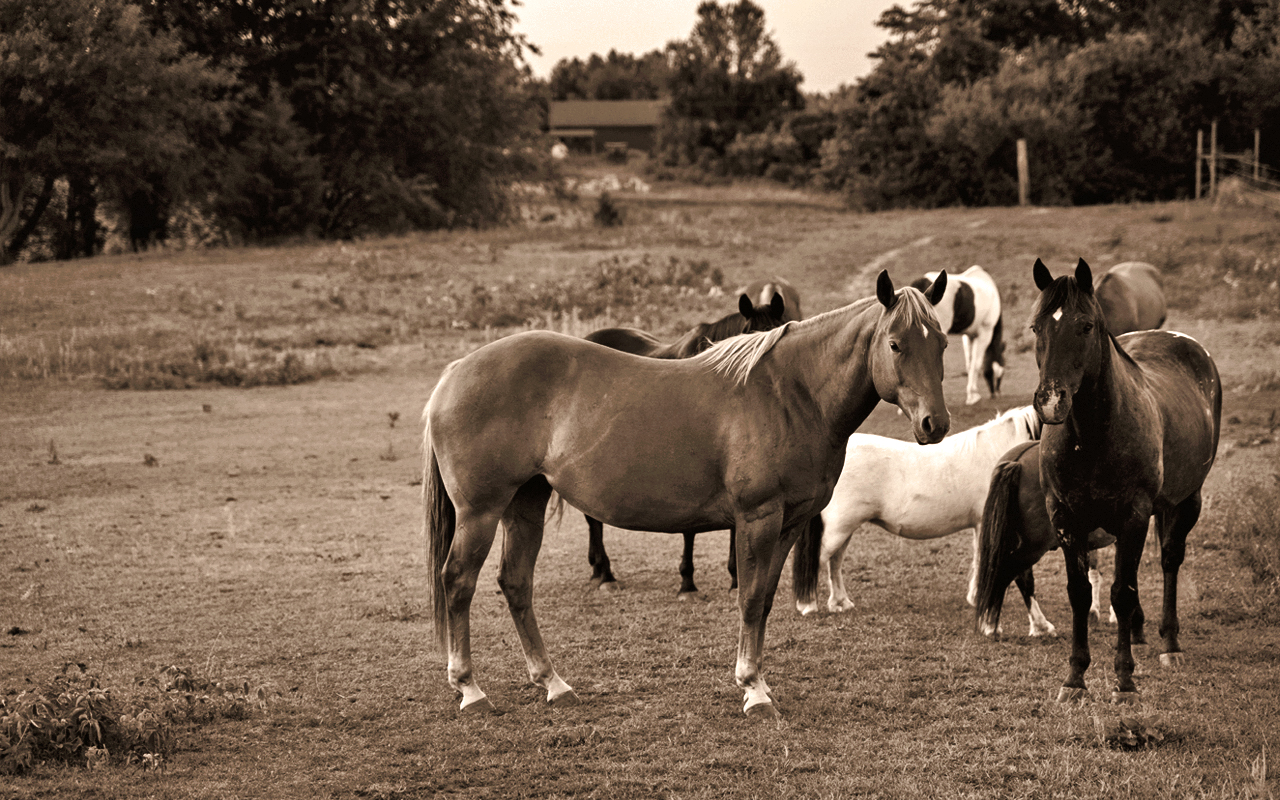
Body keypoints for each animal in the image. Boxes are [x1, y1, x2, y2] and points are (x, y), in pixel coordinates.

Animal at [581, 286, 799, 595]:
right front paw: (687, 580)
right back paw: (605, 572)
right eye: (747, 334)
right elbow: (689, 528)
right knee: (592, 518)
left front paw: (735, 577)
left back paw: (597, 568)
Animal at [789, 406, 1056, 635]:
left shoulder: (981, 524)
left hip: (844, 529)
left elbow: (979, 558)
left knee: (834, 562)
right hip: (839, 528)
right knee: (818, 560)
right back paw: (807, 605)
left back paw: (840, 602)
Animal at [910, 265, 1004, 405]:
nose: (996, 394)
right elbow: (976, 365)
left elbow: (970, 363)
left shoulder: (969, 336)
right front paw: (972, 396)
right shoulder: (985, 333)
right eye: (1000, 375)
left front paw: (973, 393)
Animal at [978, 258, 1220, 704]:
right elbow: (1080, 594)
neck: (1092, 437)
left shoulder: (1133, 516)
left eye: (1086, 325)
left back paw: (1170, 642)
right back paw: (1140, 632)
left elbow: (1121, 593)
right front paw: (1075, 677)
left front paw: (1124, 681)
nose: (1051, 401)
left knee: (1169, 560)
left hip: (1186, 501)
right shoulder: (1066, 520)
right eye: (1036, 327)